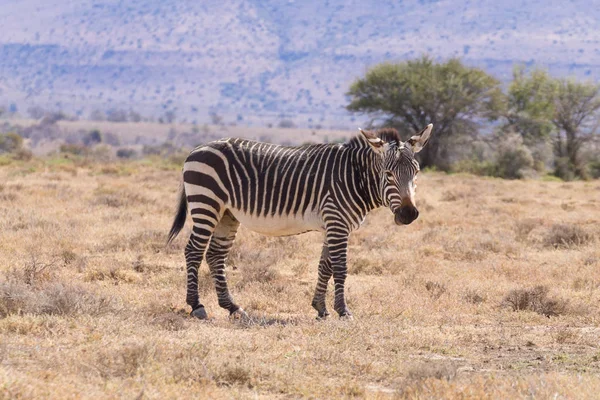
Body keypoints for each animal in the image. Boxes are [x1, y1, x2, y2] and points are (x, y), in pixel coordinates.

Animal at [166, 123, 434, 320]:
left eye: (416, 172)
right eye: (388, 174)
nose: (409, 214)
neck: (354, 176)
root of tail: (196, 149)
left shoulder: (332, 224)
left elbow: (325, 266)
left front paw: (320, 308)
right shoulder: (337, 222)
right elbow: (341, 267)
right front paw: (343, 311)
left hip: (227, 214)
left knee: (215, 255)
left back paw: (232, 307)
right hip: (206, 203)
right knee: (194, 251)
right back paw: (197, 306)